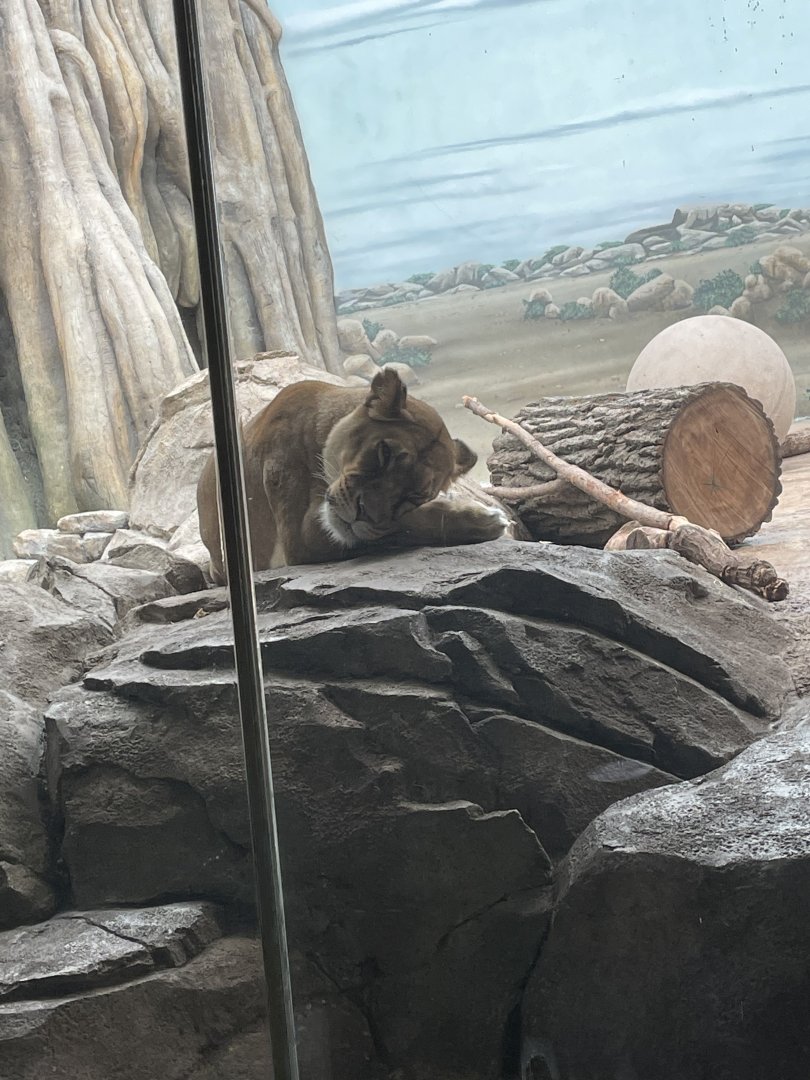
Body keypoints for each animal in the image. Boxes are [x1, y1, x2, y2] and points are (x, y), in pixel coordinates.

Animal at [197, 368, 508, 582]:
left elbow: (393, 525)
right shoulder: (297, 539)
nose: (362, 513)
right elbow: (403, 527)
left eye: (414, 495)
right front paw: (483, 520)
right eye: (384, 453)